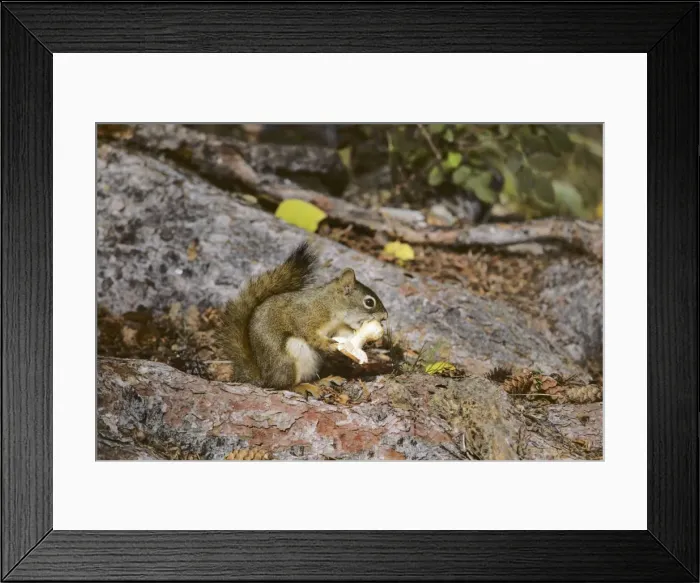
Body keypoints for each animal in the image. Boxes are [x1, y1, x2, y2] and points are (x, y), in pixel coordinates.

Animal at [217, 242, 388, 390]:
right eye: (369, 302)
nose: (385, 316)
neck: (331, 306)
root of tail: (264, 377)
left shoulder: (339, 327)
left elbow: (346, 336)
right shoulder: (306, 316)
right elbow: (309, 333)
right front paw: (330, 345)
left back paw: (322, 381)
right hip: (287, 360)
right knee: (284, 385)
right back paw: (302, 387)